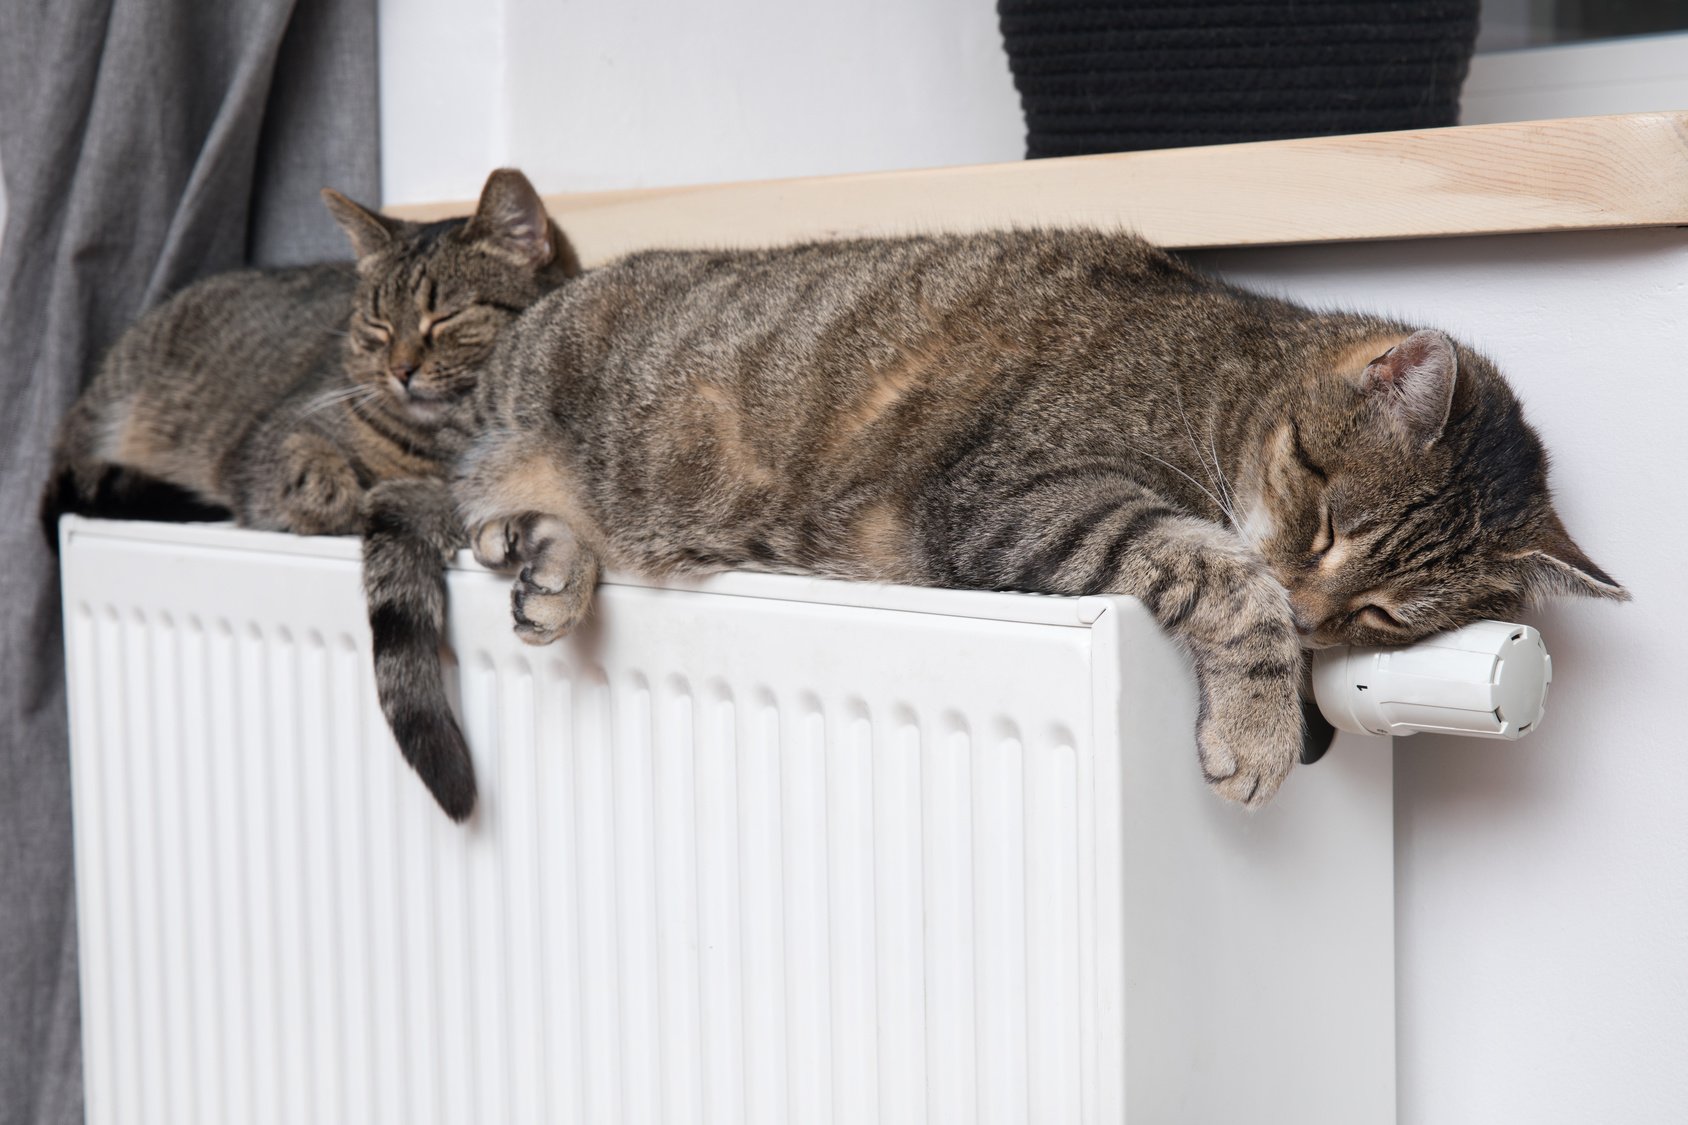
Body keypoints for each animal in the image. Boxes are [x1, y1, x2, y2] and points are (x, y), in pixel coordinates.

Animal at [43, 167, 575, 820]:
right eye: (377, 325)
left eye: (445, 318)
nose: (400, 370)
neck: (434, 445)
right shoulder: (269, 443)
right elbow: (313, 478)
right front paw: (347, 495)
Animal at [427, 229, 1625, 809]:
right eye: (1327, 521)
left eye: (1383, 614)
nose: (1314, 609)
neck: (1225, 384)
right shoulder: (1022, 500)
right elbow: (1225, 580)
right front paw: (1261, 723)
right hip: (511, 413)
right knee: (443, 493)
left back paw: (549, 565)